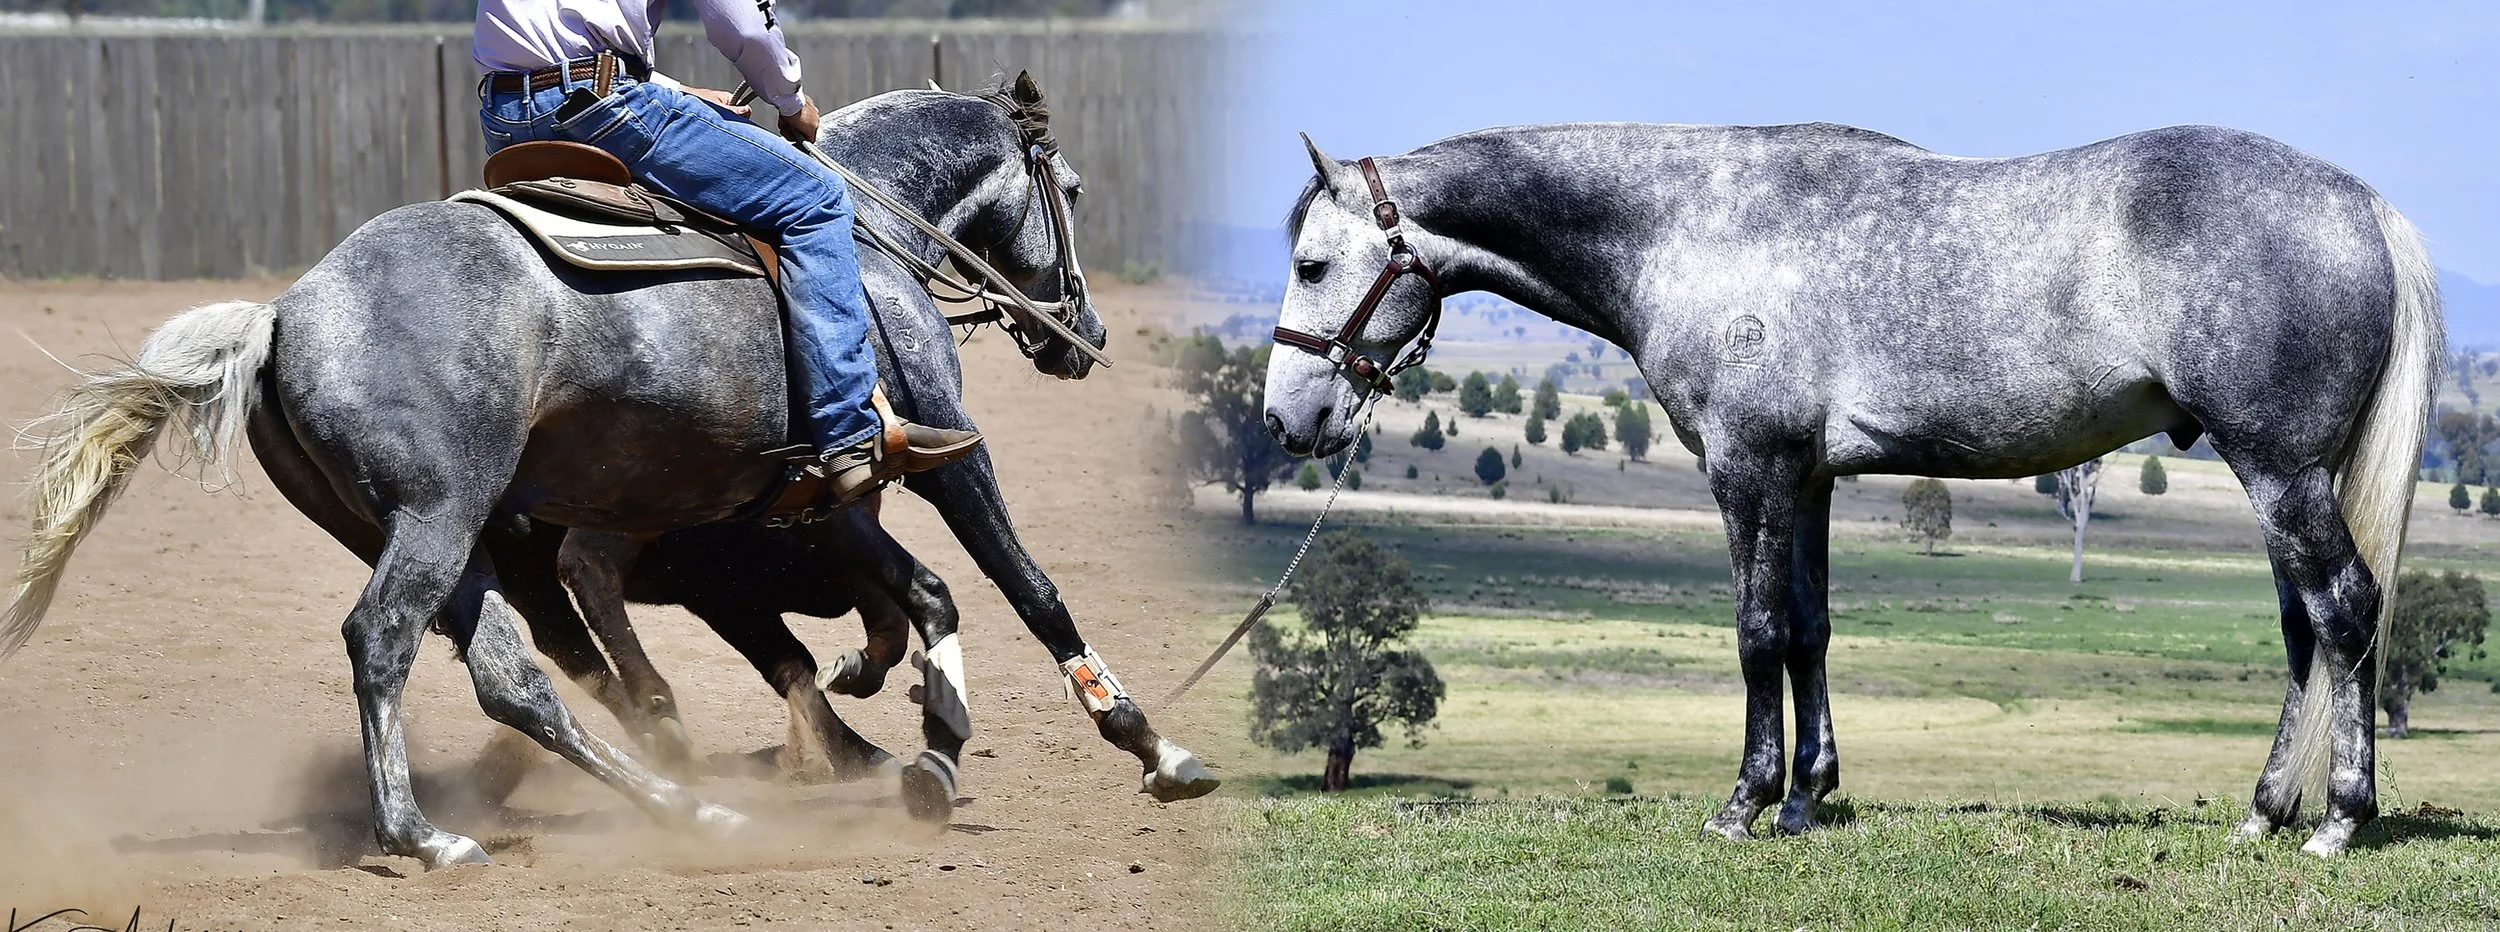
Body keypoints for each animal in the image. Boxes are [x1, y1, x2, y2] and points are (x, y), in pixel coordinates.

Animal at [0, 75, 1185, 870]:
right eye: (1073, 187)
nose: (1081, 333)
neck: (869, 238)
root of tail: (285, 310)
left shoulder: (826, 494)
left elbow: (926, 596)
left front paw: (926, 746)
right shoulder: (947, 446)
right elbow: (1025, 586)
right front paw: (1146, 742)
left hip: (453, 536)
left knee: (515, 675)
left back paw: (690, 807)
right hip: (437, 517)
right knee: (385, 640)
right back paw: (422, 834)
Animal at [1262, 123, 2437, 857]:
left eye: (1313, 265)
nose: (1287, 421)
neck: (1690, 227)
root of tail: (2363, 206)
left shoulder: (1746, 467)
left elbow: (1754, 633)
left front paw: (1745, 803)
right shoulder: (1810, 476)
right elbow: (1809, 630)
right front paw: (1808, 795)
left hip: (2279, 473)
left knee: (2345, 610)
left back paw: (2336, 820)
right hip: (2286, 482)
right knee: (2304, 633)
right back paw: (2263, 812)